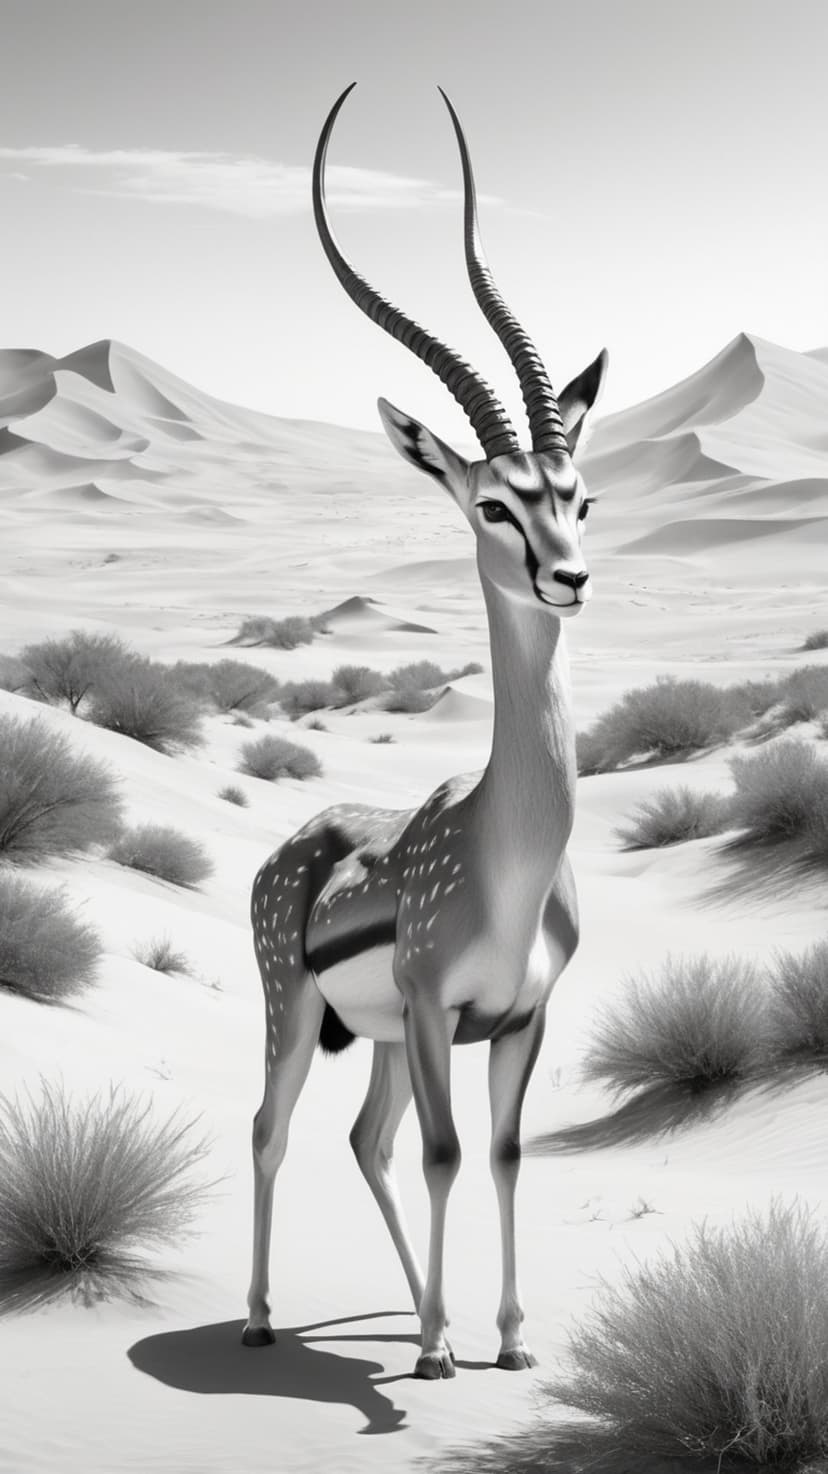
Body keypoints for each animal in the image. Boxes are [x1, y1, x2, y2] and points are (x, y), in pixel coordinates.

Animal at [242, 83, 607, 1379]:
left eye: (579, 493)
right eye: (493, 502)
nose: (569, 576)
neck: (507, 853)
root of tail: (293, 841)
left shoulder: (514, 1019)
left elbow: (500, 1155)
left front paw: (503, 1339)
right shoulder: (439, 1010)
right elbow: (455, 1156)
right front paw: (448, 1352)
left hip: (386, 1041)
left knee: (367, 1140)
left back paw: (412, 1312)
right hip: (300, 1016)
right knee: (272, 1126)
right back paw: (263, 1319)